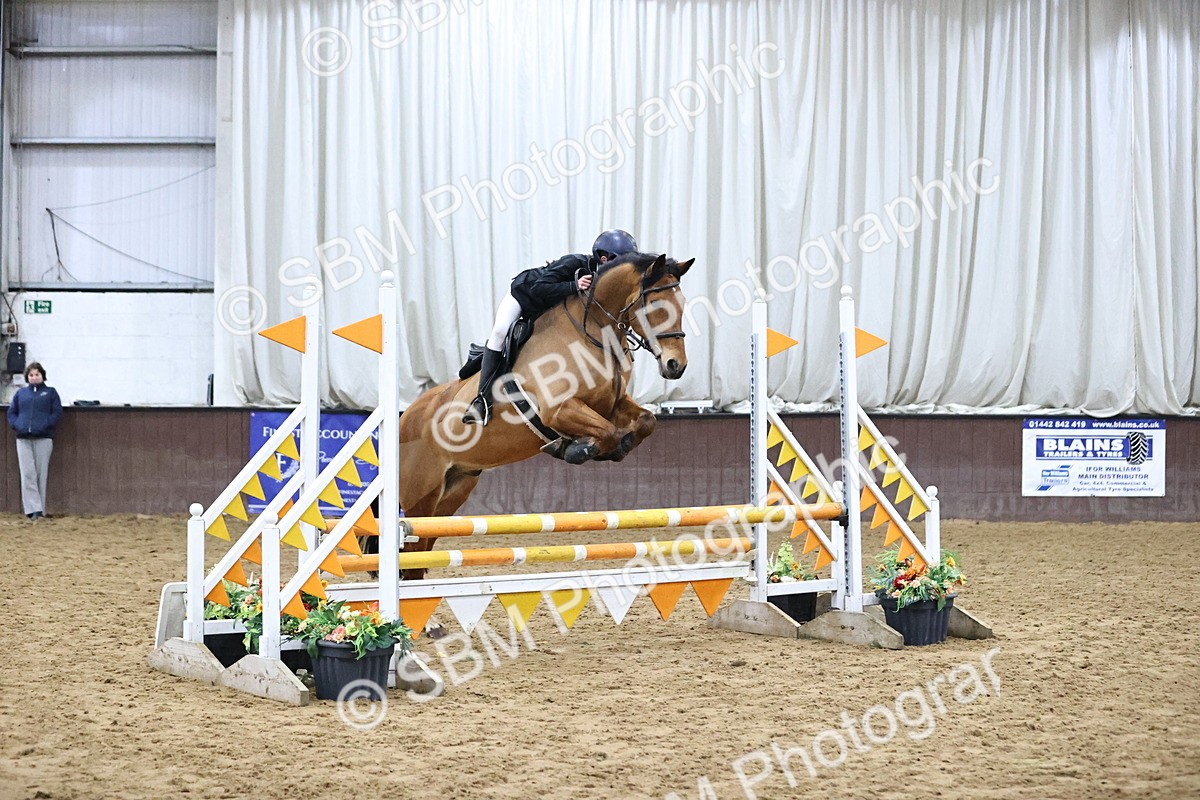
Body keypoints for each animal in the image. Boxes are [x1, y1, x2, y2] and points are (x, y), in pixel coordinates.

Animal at [393, 251, 694, 580]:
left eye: (682, 304)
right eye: (657, 306)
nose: (676, 365)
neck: (593, 332)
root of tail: (404, 418)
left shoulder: (610, 405)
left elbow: (643, 423)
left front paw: (599, 447)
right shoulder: (559, 410)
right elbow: (607, 433)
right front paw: (577, 449)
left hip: (453, 492)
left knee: (422, 552)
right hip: (420, 496)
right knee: (410, 554)